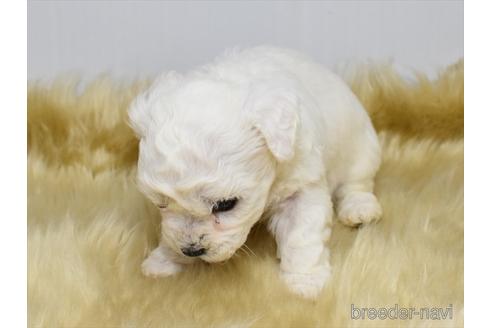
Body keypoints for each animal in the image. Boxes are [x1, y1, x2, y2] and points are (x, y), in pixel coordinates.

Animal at [129, 46, 382, 300]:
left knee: (357, 183)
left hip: (360, 150)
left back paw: (359, 208)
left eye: (226, 205)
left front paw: (304, 281)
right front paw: (164, 260)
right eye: (161, 204)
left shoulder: (301, 187)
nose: (192, 250)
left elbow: (301, 236)